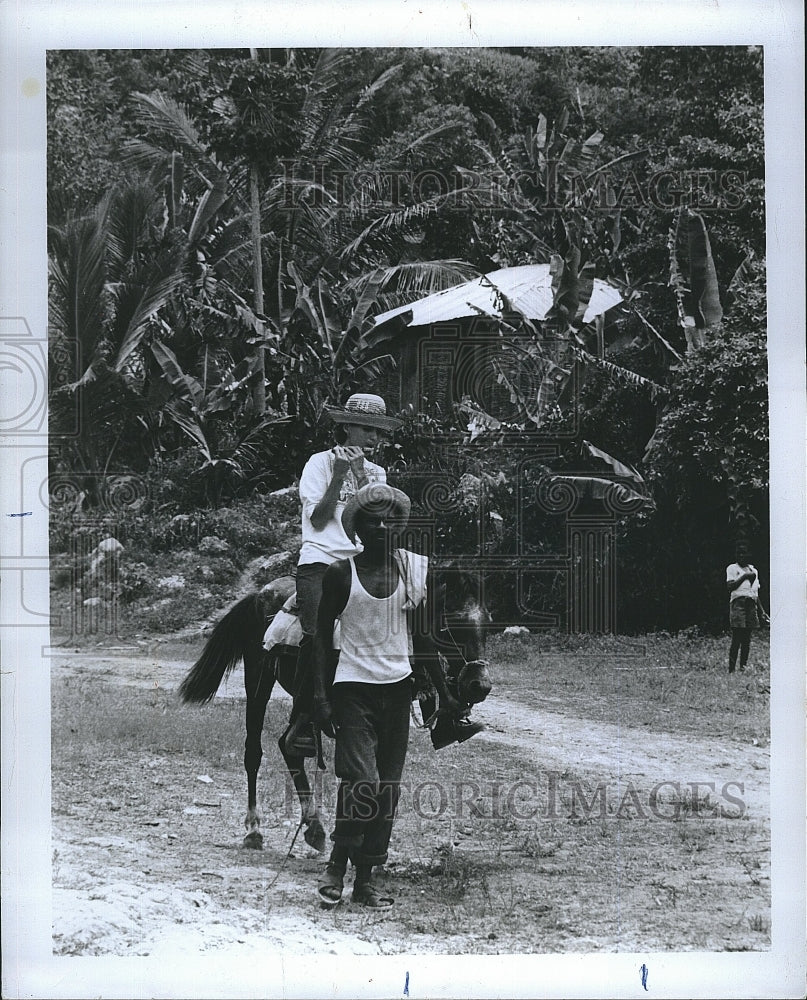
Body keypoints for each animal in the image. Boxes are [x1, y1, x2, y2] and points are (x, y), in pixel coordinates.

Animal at [178, 564, 492, 852]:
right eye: (451, 624)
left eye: (487, 623)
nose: (480, 685)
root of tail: (259, 595)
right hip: (258, 679)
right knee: (255, 751)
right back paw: (255, 829)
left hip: (299, 700)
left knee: (289, 747)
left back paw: (314, 826)